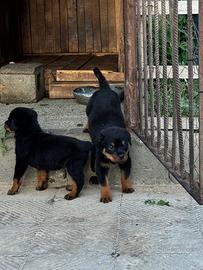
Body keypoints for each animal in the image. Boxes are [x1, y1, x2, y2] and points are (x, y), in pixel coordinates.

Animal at [86, 67, 135, 202]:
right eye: (111, 147)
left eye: (124, 144)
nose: (121, 155)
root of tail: (105, 89)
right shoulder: (100, 165)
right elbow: (104, 182)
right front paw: (105, 196)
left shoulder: (127, 160)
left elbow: (125, 176)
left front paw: (127, 187)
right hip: (88, 108)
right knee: (87, 117)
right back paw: (86, 127)